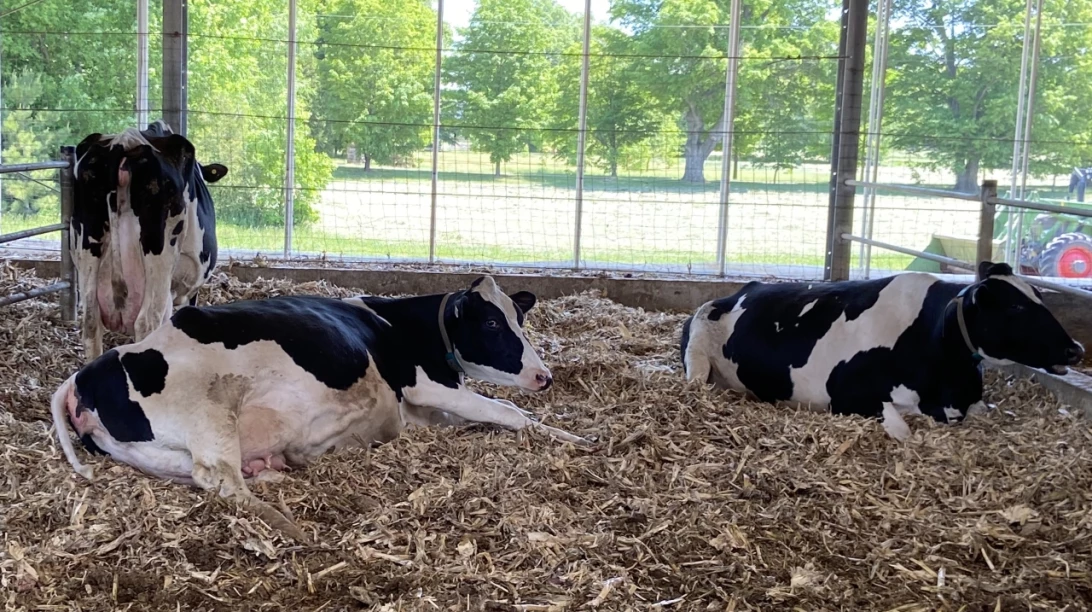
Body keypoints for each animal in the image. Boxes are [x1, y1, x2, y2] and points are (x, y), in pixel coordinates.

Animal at [51, 276, 586, 541]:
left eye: (519, 318)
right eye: (493, 325)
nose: (544, 376)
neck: (402, 325)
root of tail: (84, 375)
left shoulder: (425, 410)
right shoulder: (427, 387)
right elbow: (509, 410)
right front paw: (573, 437)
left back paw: (276, 468)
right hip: (209, 411)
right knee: (220, 479)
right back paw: (290, 524)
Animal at [680, 262, 1084, 441]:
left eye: (1040, 296)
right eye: (1015, 307)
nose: (1075, 349)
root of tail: (742, 288)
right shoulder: (850, 396)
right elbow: (905, 433)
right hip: (698, 360)